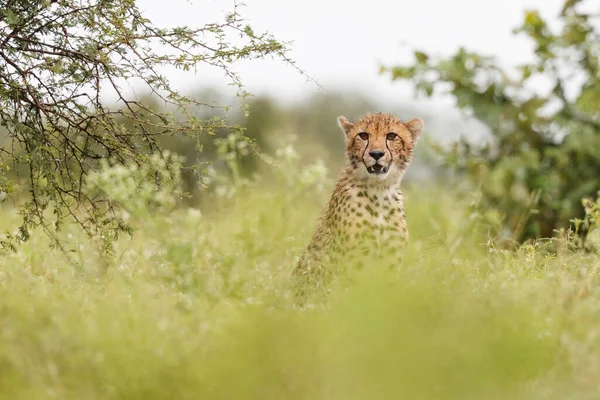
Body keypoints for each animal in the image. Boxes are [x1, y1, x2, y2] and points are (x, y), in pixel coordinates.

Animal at [292, 111, 424, 302]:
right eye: (363, 135)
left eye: (392, 136)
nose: (376, 153)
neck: (380, 192)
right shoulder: (354, 265)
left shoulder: (390, 265)